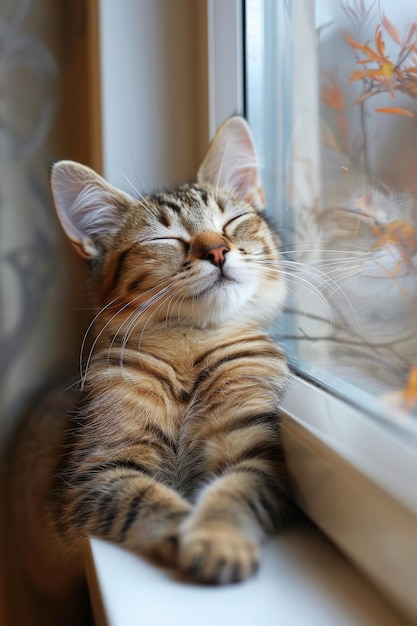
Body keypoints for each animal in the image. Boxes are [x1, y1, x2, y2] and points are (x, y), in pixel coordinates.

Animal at [9, 116, 290, 600]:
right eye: (165, 238)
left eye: (232, 221)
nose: (217, 251)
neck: (190, 350)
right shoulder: (97, 471)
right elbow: (157, 504)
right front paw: (193, 537)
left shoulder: (252, 448)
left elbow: (235, 490)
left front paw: (219, 536)